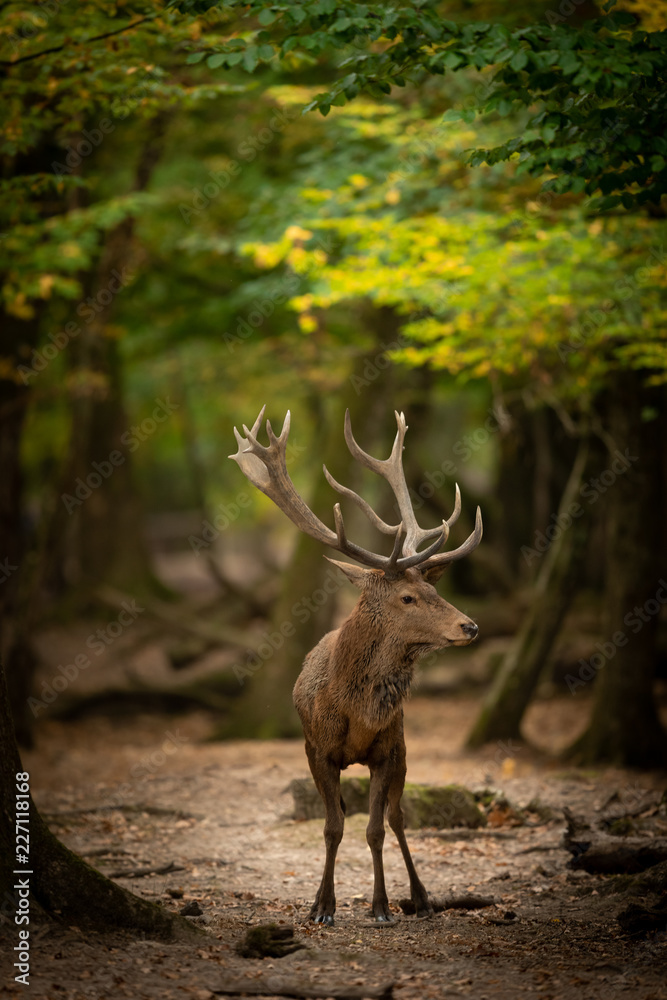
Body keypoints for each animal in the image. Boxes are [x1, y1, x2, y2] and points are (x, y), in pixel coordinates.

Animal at [230, 406, 482, 925]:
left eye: (434, 589)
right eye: (407, 597)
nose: (469, 626)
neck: (355, 710)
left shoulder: (387, 749)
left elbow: (376, 829)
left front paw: (381, 906)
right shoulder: (316, 750)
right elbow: (332, 827)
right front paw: (321, 906)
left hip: (404, 748)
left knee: (398, 817)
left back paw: (421, 897)